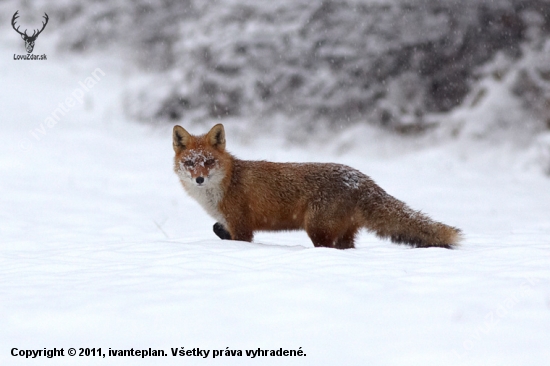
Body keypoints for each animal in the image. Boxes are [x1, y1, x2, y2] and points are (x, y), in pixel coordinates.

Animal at [175, 123, 464, 249]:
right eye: (190, 163)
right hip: (342, 234)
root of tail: (362, 179)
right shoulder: (230, 224)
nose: (199, 179)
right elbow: (217, 228)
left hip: (317, 230)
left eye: (208, 162)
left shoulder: (243, 227)